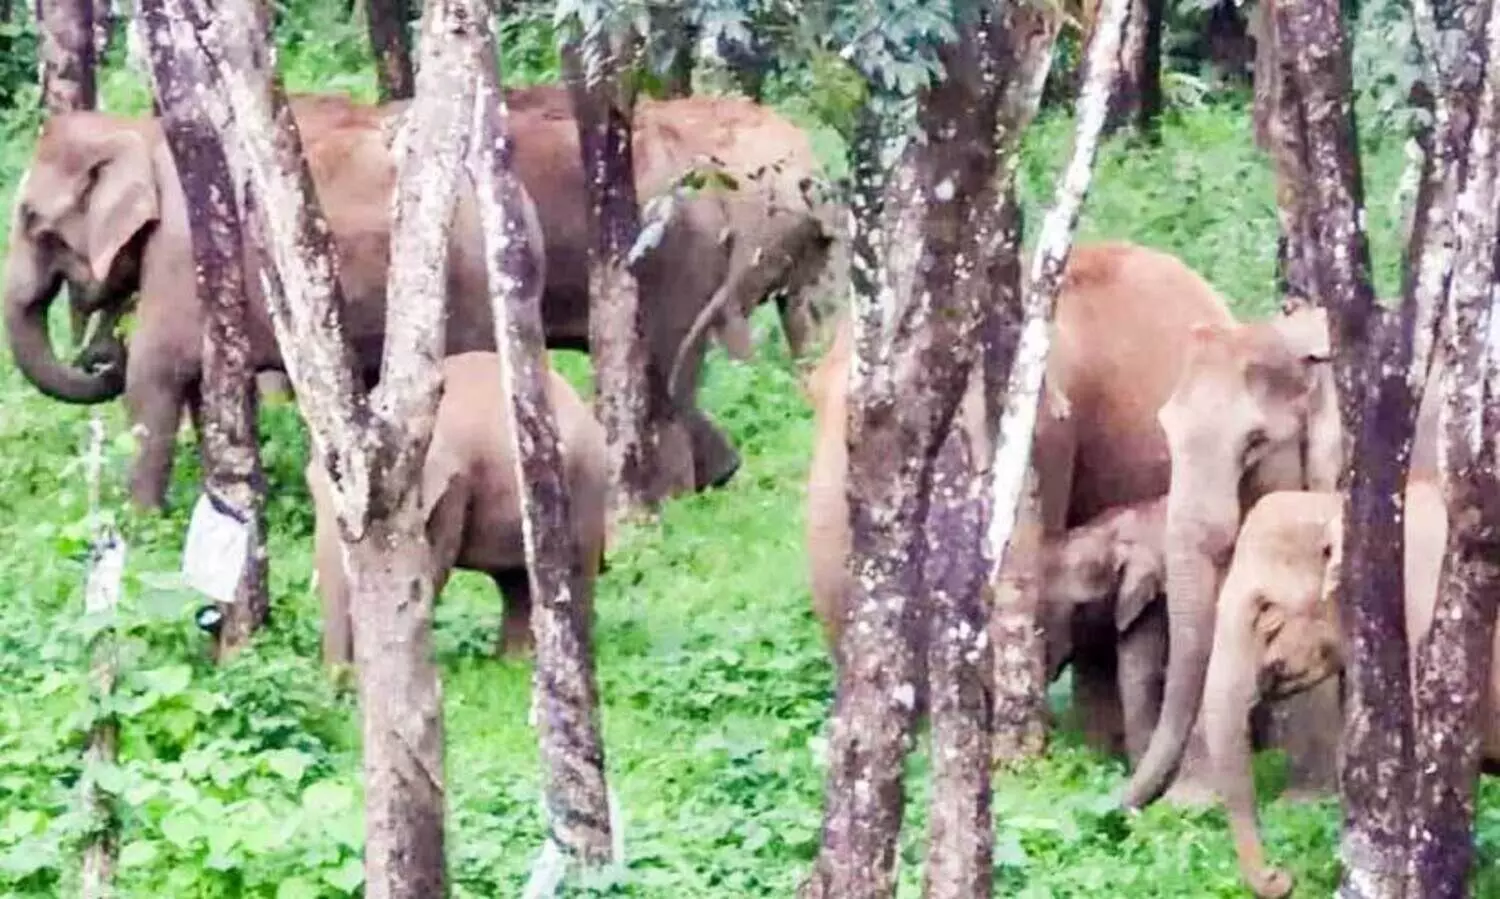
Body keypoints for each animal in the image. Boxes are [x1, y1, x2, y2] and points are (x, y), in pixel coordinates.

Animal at [7, 85, 834, 509]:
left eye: (32, 222)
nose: (97, 341)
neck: (139, 130)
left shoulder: (184, 249)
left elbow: (158, 375)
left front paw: (139, 520)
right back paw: (716, 474)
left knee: (660, 363)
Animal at [306, 351, 608, 667]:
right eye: (311, 488)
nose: (340, 675)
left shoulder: (454, 487)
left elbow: (433, 565)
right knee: (515, 581)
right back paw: (510, 663)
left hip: (585, 484)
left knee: (573, 568)